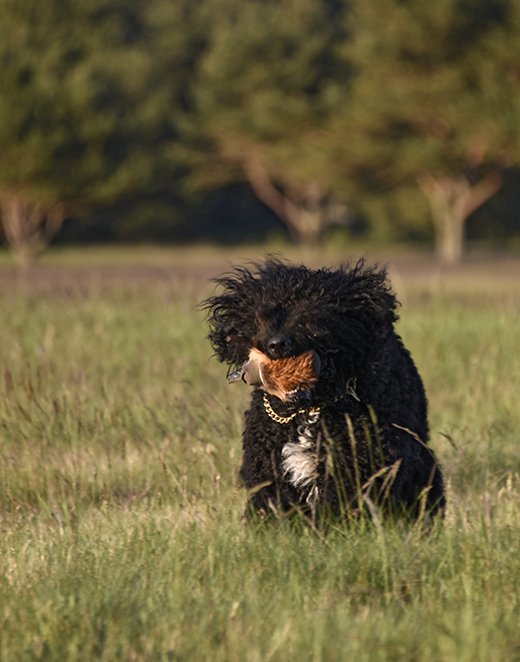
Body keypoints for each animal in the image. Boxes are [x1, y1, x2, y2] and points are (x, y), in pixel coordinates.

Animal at [203, 260, 442, 524]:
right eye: (261, 315)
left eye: (315, 313)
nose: (276, 344)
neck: (309, 411)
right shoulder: (267, 467)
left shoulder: (357, 466)